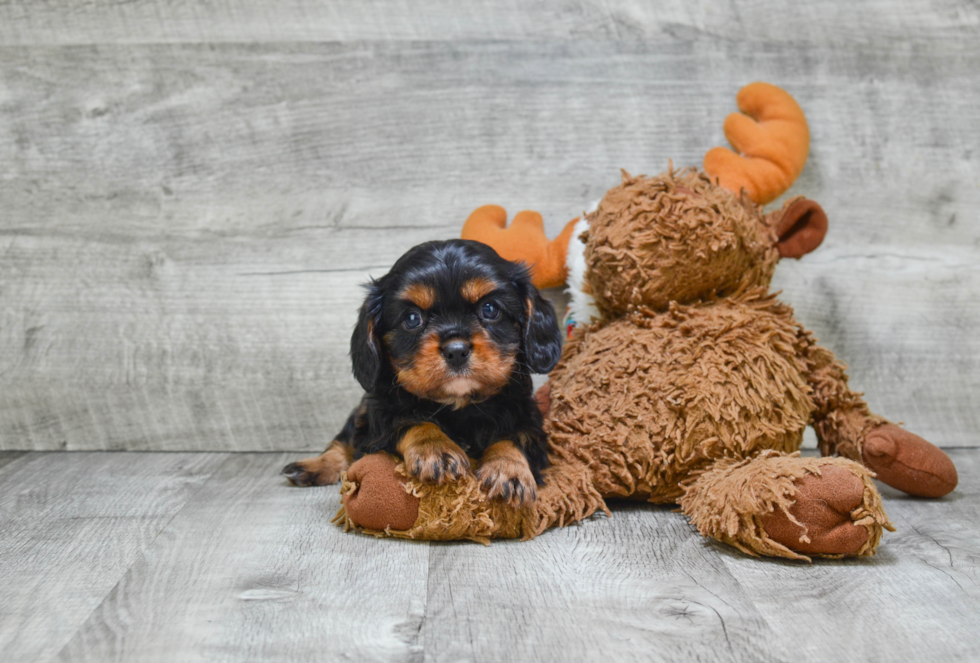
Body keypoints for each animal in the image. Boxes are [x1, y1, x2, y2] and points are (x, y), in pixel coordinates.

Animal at [280, 241, 564, 506]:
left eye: (490, 309)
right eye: (412, 318)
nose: (456, 350)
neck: (458, 405)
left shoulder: (527, 416)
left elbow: (516, 436)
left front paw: (508, 469)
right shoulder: (378, 418)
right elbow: (409, 420)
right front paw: (436, 449)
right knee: (343, 440)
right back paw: (312, 467)